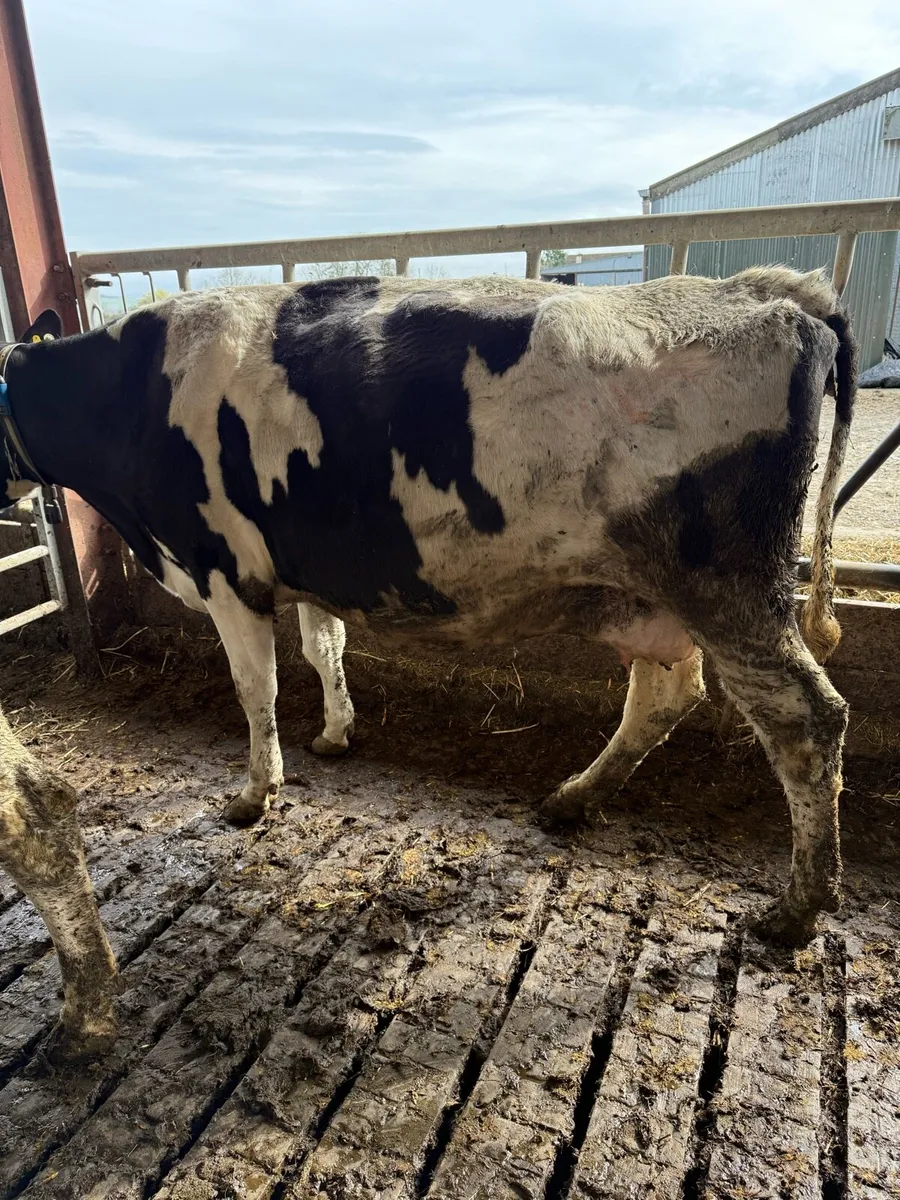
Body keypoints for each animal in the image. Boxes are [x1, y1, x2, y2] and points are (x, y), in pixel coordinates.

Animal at [0, 266, 855, 948]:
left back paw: (798, 909)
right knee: (665, 696)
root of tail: (770, 293)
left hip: (729, 590)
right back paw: (574, 798)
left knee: (805, 720)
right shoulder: (307, 566)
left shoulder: (223, 571)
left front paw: (253, 793)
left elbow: (255, 688)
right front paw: (336, 733)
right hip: (649, 595)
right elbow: (323, 651)